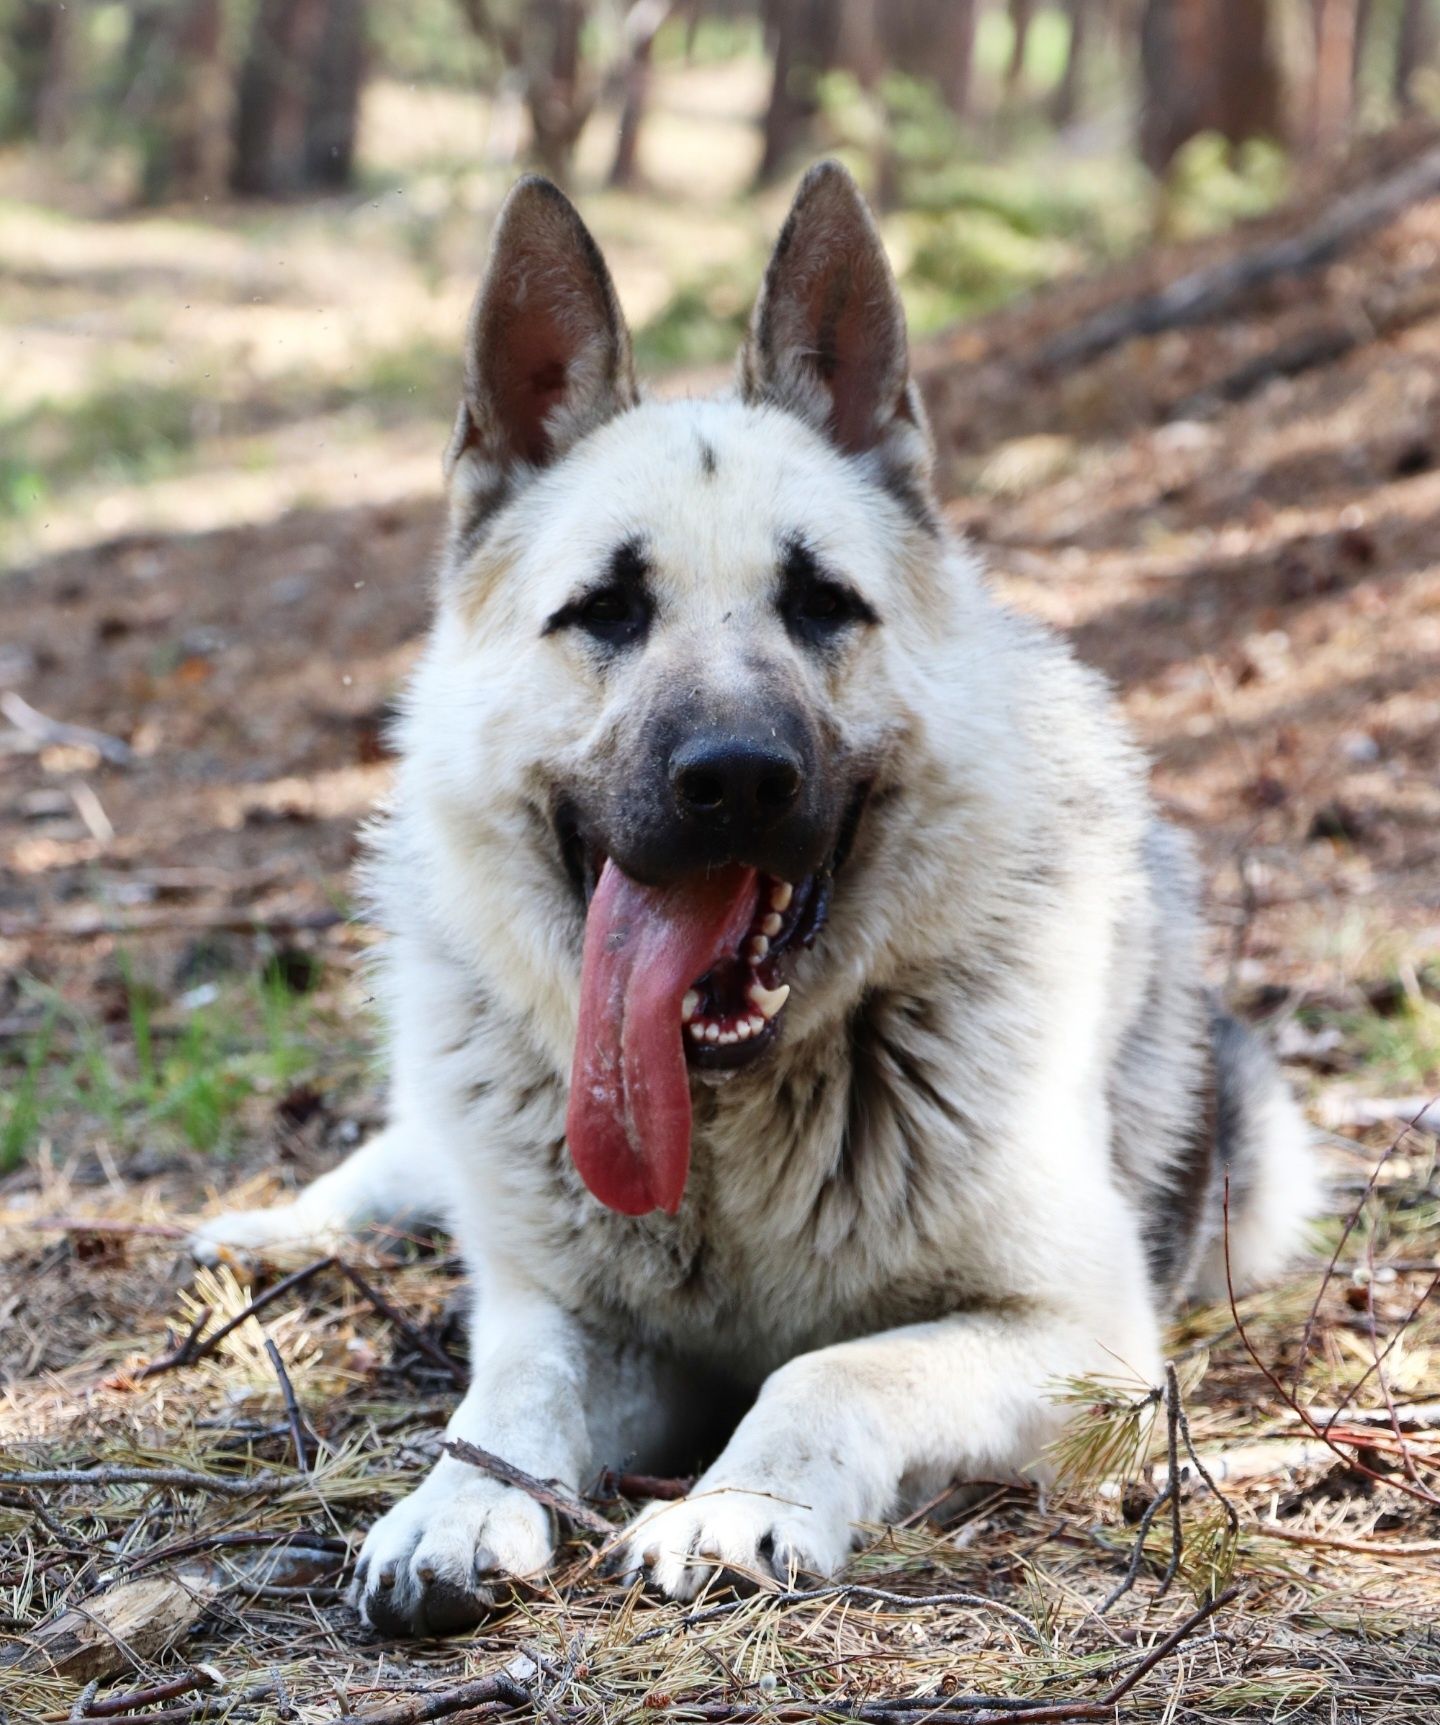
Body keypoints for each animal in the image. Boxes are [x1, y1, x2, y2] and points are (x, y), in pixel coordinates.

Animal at [191, 168, 1317, 1635]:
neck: (726, 1119)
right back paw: (269, 1232)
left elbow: (827, 1369)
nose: (735, 777)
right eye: (606, 609)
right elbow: (507, 1393)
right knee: (403, 1166)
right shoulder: (570, 1319)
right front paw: (455, 1505)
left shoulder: (1083, 1345)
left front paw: (736, 1504)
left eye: (821, 601)